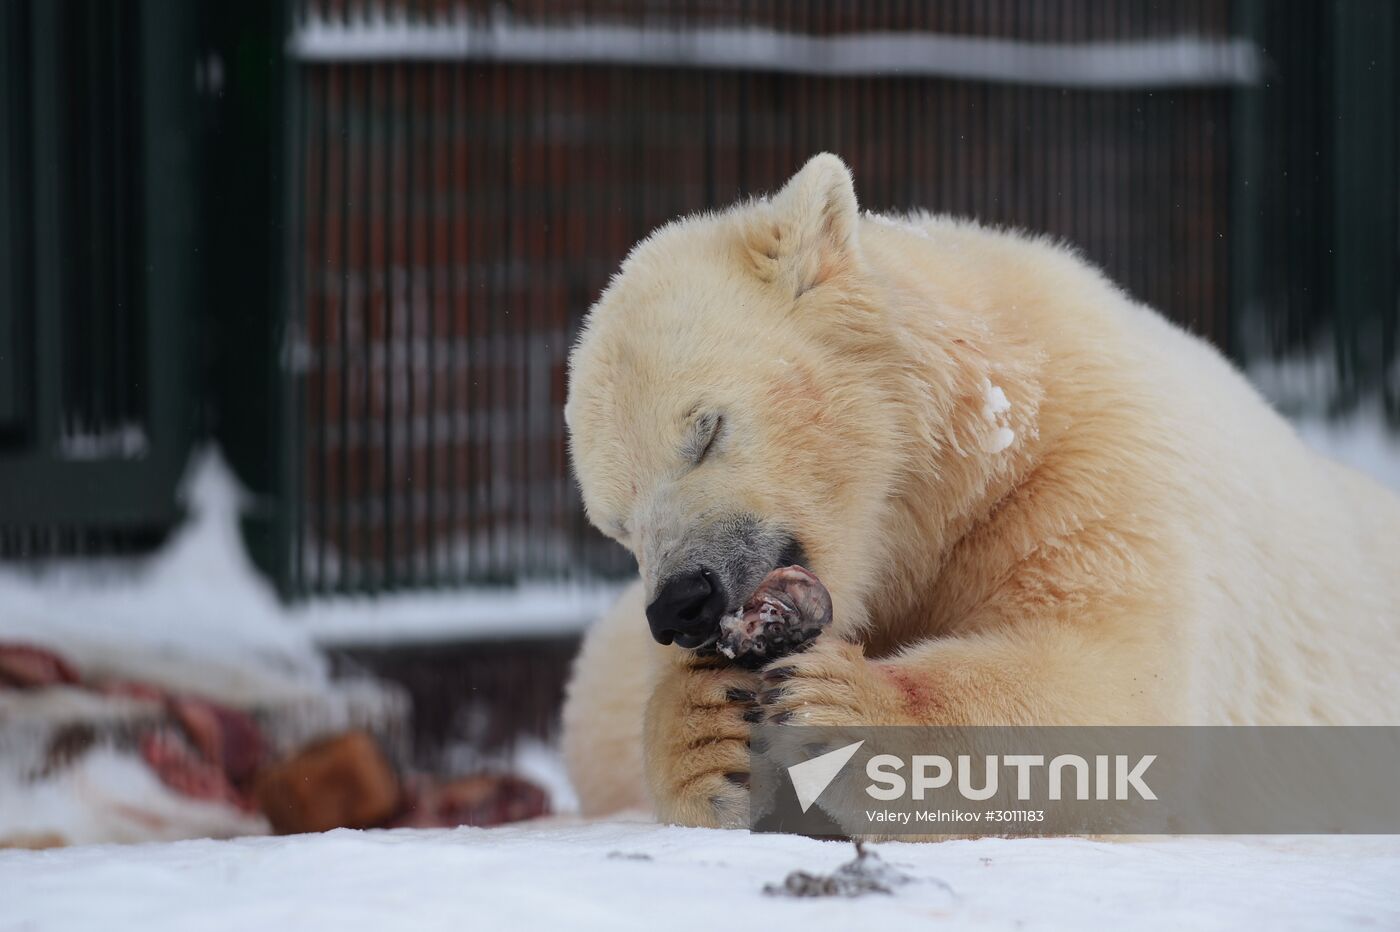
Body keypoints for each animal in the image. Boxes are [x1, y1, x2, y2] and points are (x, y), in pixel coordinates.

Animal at [557, 153, 1400, 828]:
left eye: (706, 431)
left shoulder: (1081, 474)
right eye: (616, 522)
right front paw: (708, 735)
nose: (681, 604)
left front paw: (840, 704)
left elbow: (1114, 681)